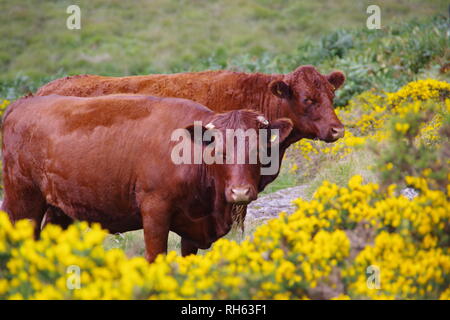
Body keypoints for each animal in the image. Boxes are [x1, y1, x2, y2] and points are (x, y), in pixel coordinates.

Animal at [1, 93, 292, 262]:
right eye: (218, 152)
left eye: (259, 149)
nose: (240, 192)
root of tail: (20, 104)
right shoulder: (155, 211)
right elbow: (155, 256)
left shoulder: (193, 225)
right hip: (23, 201)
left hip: (60, 209)